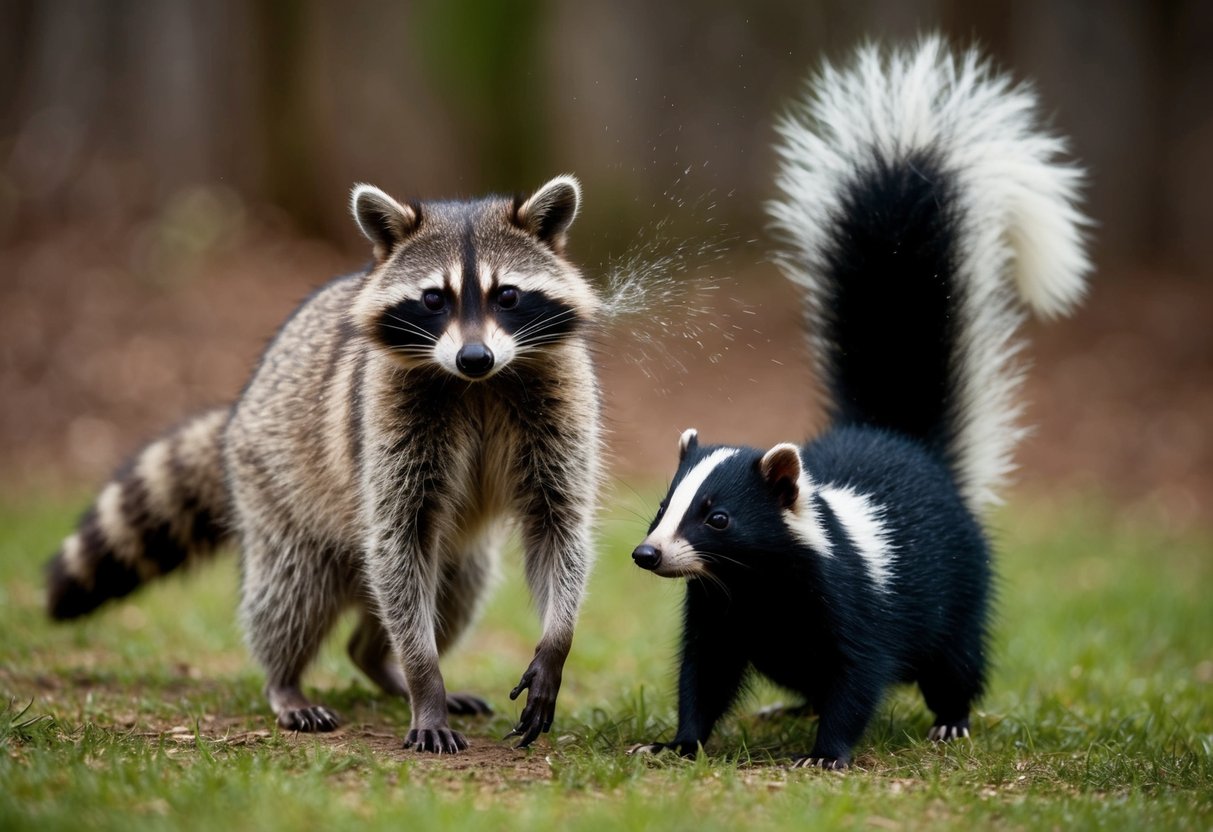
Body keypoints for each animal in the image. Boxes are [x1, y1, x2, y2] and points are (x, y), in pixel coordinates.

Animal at [47, 175, 602, 753]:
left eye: (507, 295)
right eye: (433, 299)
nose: (474, 358)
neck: (479, 385)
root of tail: (237, 415)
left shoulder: (560, 403)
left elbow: (559, 528)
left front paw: (555, 643)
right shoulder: (387, 420)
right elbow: (398, 539)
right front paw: (424, 679)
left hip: (455, 548)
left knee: (455, 589)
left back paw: (375, 658)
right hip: (275, 489)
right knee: (293, 592)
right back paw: (289, 679)